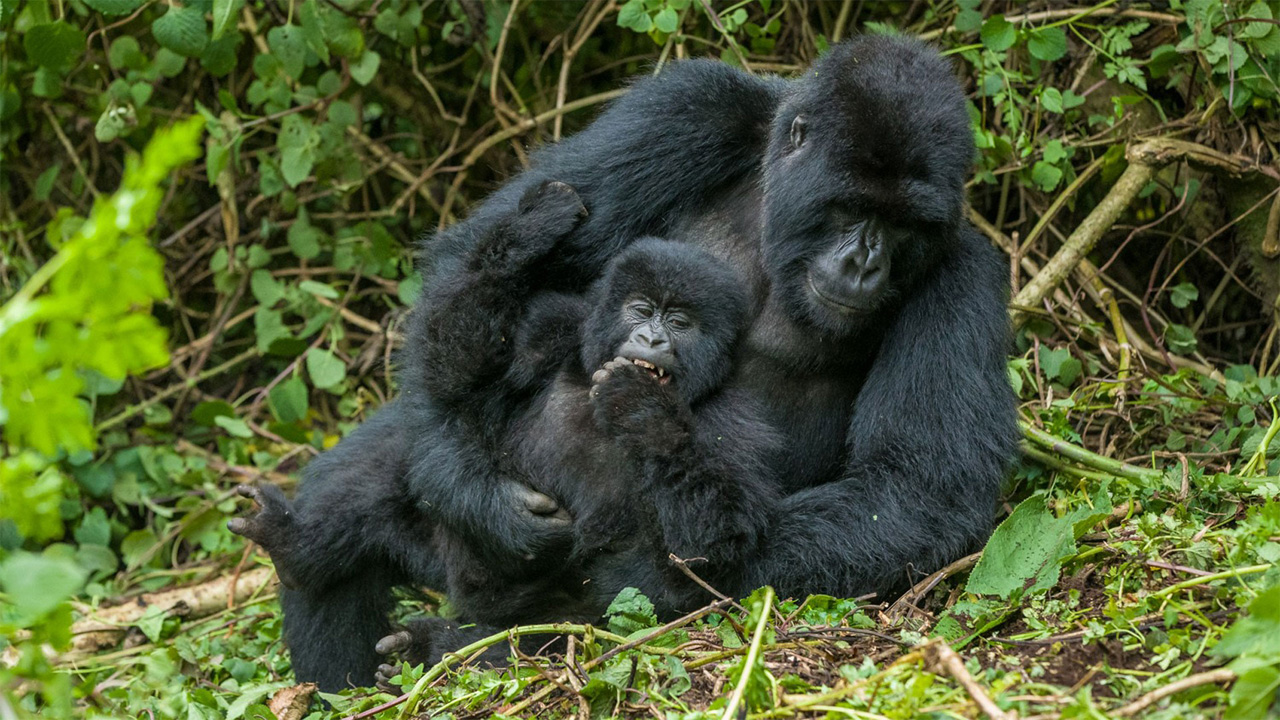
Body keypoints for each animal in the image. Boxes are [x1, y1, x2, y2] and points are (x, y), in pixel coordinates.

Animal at [376, 181, 778, 676]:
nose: (652, 339)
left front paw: (642, 408)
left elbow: (717, 539)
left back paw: (443, 648)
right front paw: (528, 233)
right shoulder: (555, 328)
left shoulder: (736, 416)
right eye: (641, 310)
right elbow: (453, 377)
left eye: (680, 322)